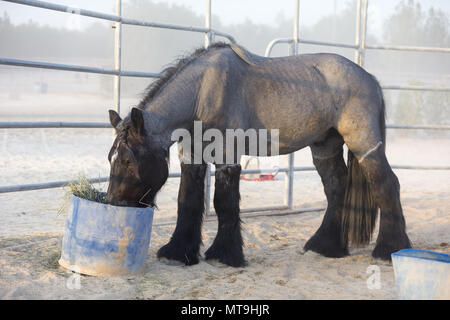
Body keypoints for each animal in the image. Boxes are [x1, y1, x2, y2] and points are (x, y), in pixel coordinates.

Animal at [106, 42, 412, 268]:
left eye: (128, 160)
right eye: (111, 158)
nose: (113, 203)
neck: (204, 92)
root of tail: (369, 78)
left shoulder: (228, 154)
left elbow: (224, 203)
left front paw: (226, 255)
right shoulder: (192, 156)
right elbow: (188, 201)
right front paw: (179, 252)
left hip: (364, 145)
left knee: (388, 185)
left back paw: (390, 250)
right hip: (325, 147)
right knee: (337, 188)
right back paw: (325, 246)